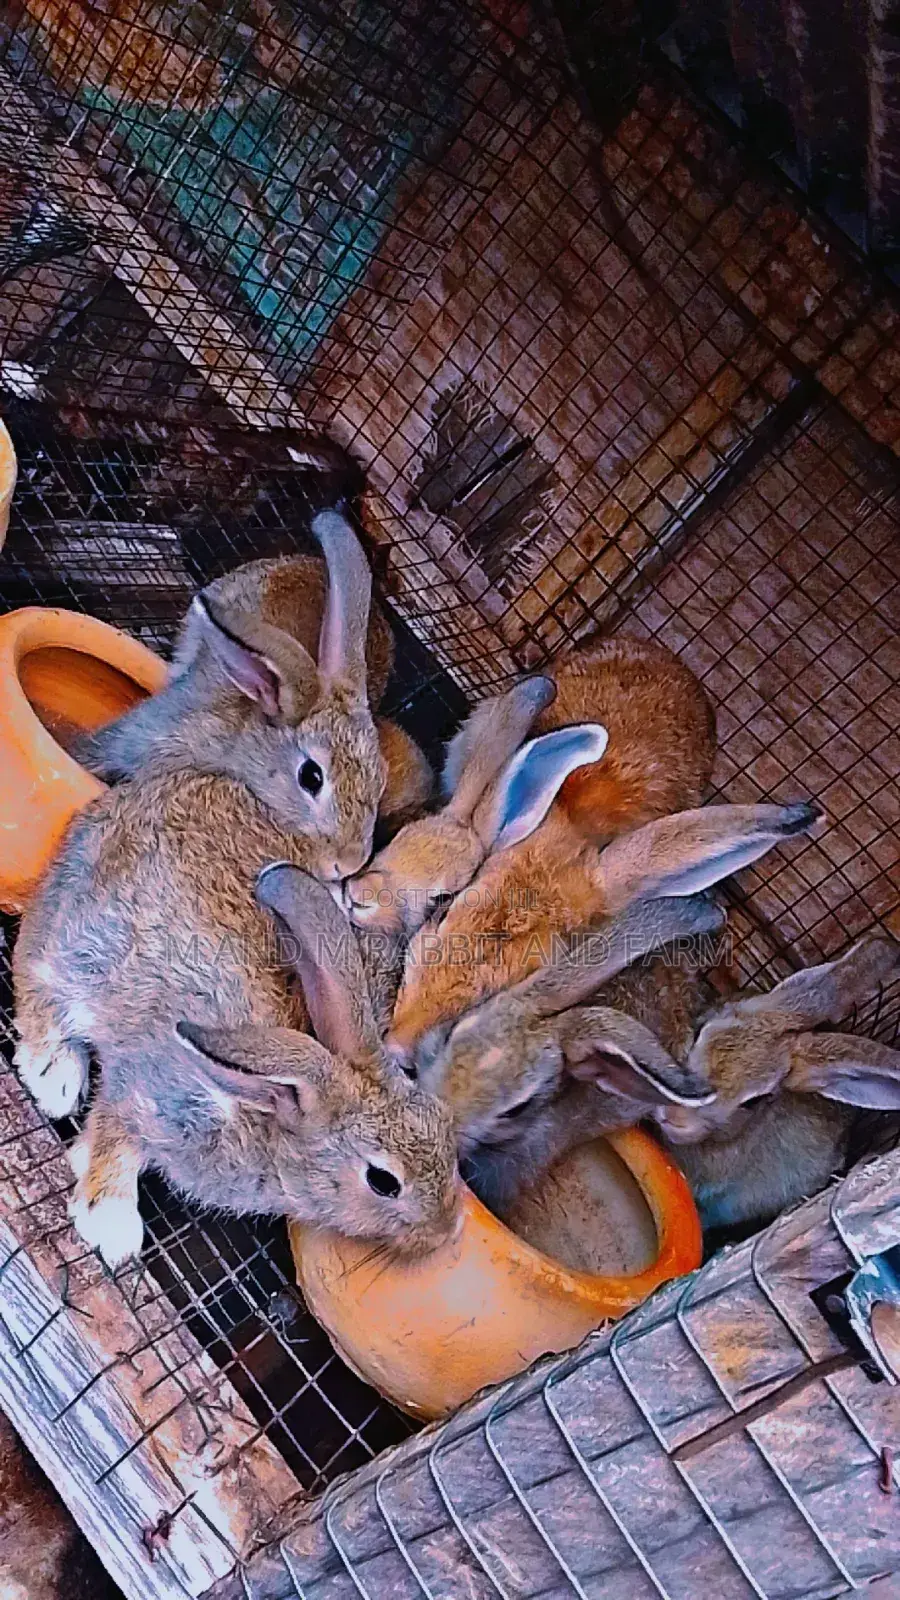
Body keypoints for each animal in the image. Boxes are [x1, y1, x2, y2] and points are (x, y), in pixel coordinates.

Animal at [64, 865, 459, 1268]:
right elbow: (115, 1136)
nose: (446, 1230)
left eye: (444, 1120)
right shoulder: (146, 1091)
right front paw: (108, 1221)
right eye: (383, 1181)